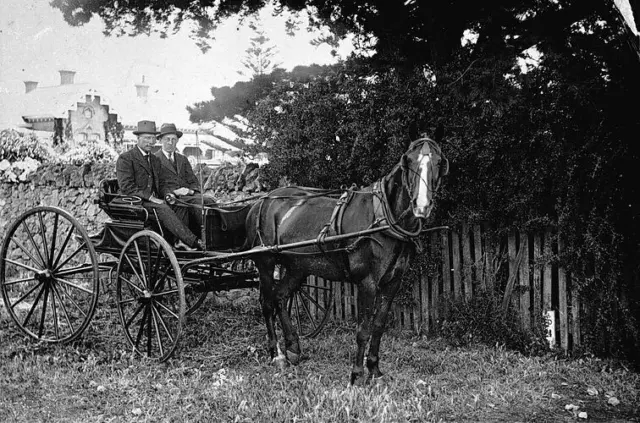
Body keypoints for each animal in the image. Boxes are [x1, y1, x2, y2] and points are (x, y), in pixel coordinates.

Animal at [245, 137, 450, 386]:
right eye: (408, 161)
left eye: (439, 162)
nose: (422, 206)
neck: (384, 218)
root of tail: (262, 201)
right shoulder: (367, 282)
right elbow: (363, 329)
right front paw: (357, 375)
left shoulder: (393, 282)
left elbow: (378, 326)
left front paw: (375, 370)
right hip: (265, 262)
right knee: (267, 303)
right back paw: (277, 354)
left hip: (297, 266)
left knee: (281, 297)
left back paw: (293, 348)